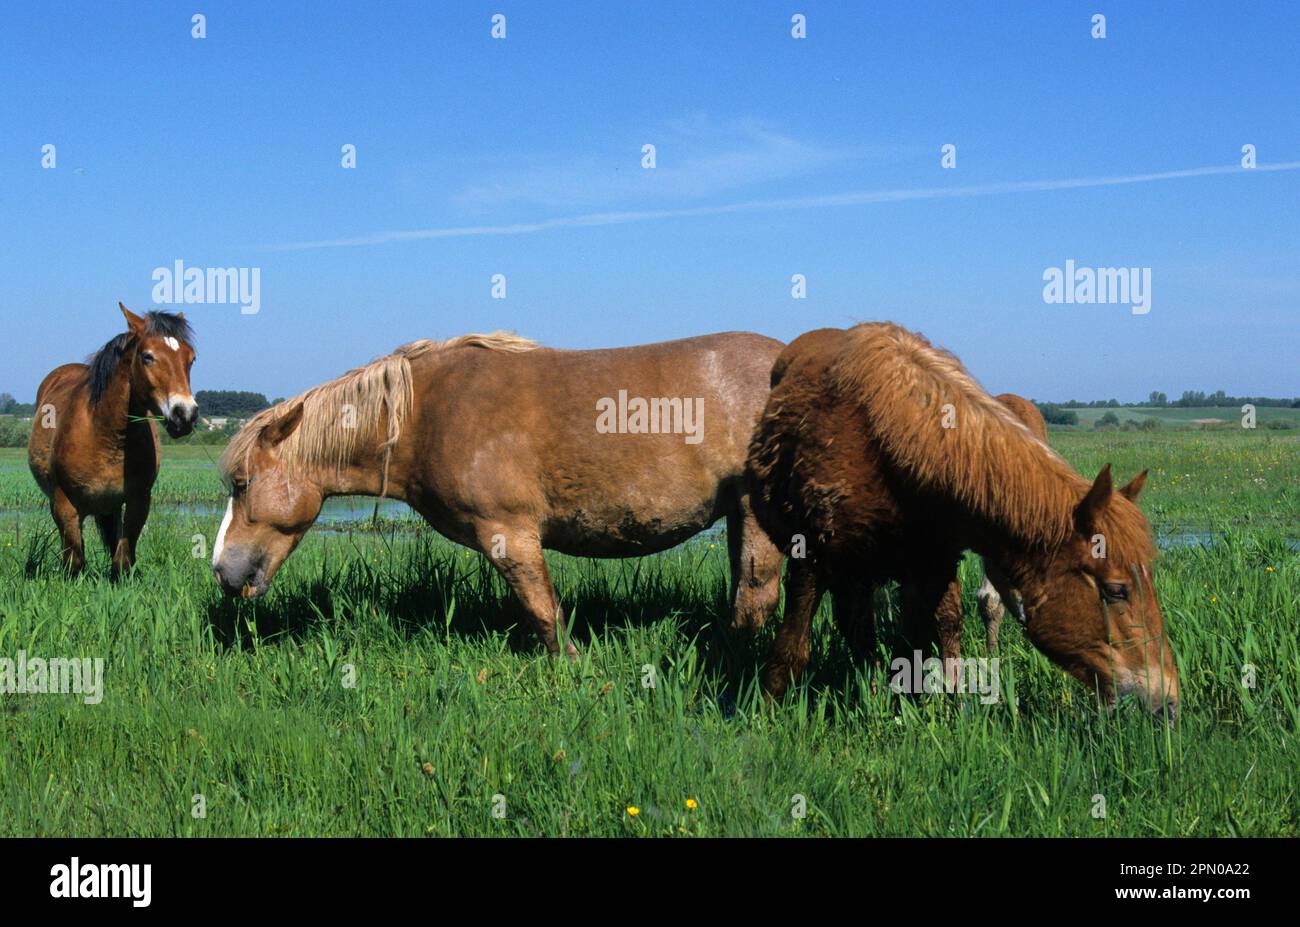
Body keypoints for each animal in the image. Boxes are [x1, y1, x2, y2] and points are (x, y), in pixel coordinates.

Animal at [28, 304, 197, 577]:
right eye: (147, 356)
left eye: (191, 358)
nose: (185, 415)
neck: (107, 436)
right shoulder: (64, 503)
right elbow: (74, 560)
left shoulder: (138, 500)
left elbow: (122, 558)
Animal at [743, 322, 1180, 717]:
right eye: (1116, 590)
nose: (1169, 702)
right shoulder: (810, 556)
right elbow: (790, 649)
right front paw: (764, 714)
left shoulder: (930, 566)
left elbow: (926, 644)